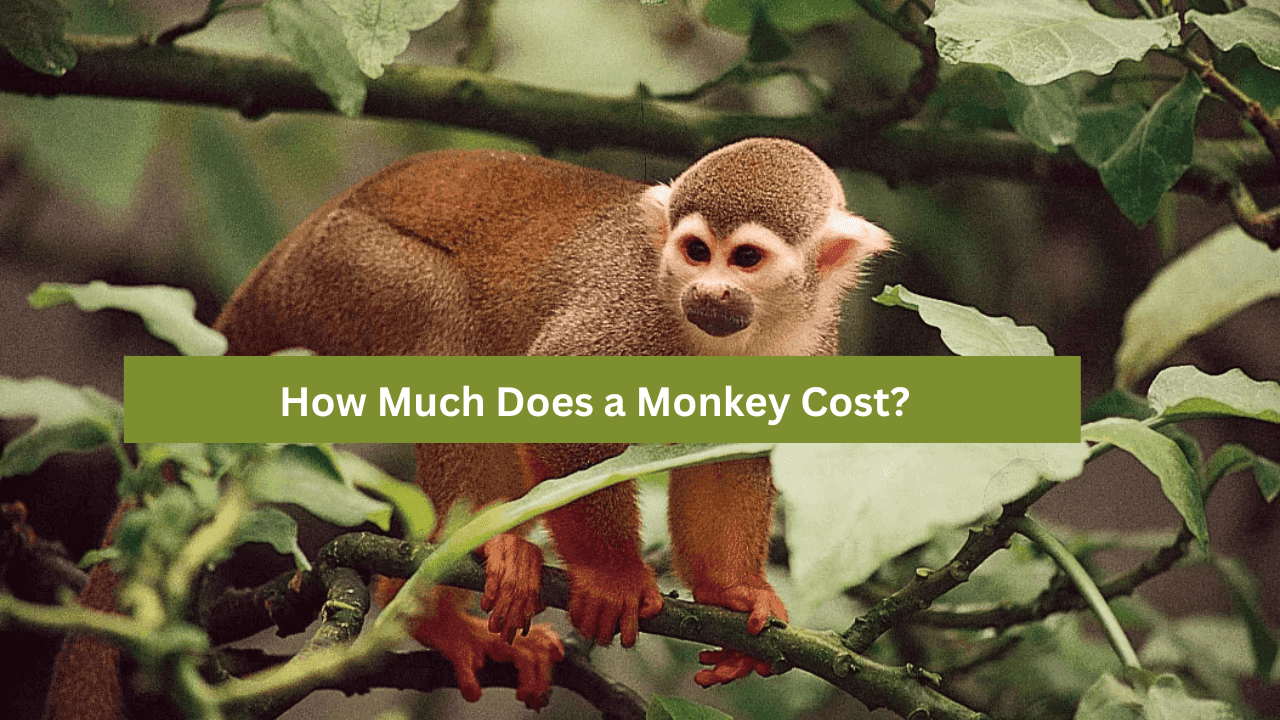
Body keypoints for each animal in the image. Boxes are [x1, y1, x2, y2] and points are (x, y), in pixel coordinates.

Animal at [46, 138, 891, 716]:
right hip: (343, 277)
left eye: (744, 259)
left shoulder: (809, 343)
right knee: (445, 318)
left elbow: (728, 460)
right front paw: (613, 576)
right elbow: (556, 406)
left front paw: (733, 591)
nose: (707, 292)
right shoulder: (633, 311)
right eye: (693, 250)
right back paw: (462, 574)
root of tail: (275, 266)